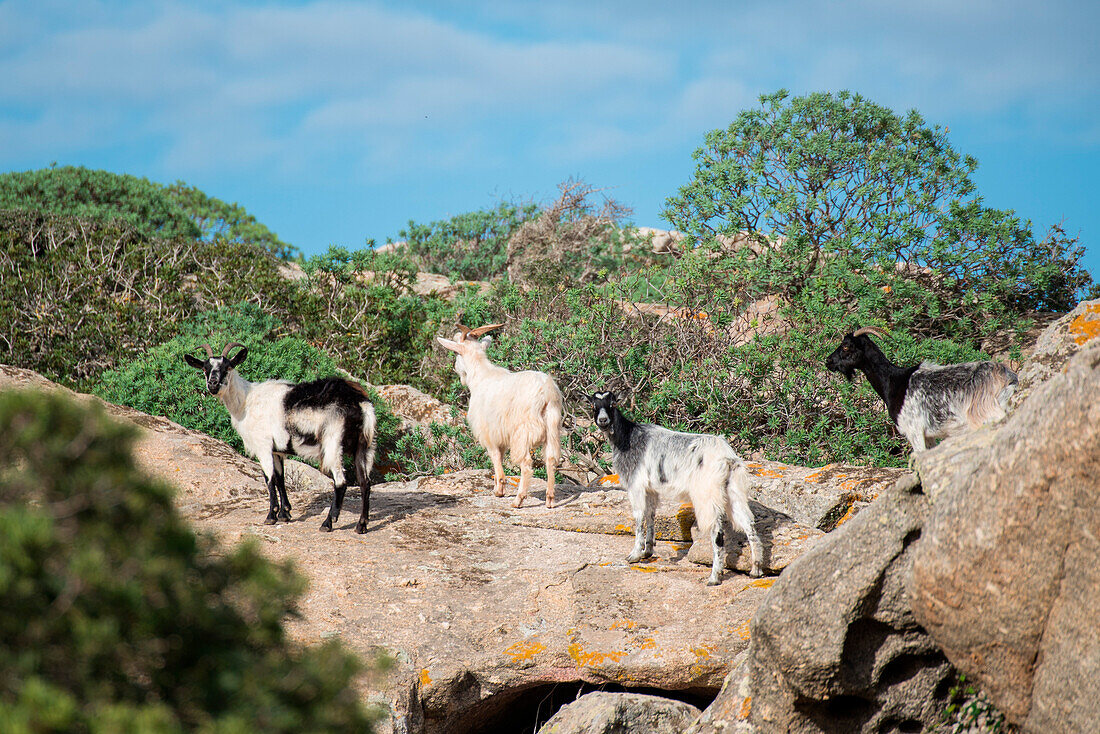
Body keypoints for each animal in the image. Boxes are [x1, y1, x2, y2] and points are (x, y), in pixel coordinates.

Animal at [184, 341, 378, 530]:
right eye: (205, 369)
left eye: (228, 367)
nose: (213, 384)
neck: (246, 401)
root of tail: (360, 403)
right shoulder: (277, 450)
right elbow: (280, 479)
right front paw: (285, 514)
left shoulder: (263, 446)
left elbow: (269, 479)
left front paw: (271, 516)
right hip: (365, 445)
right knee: (365, 482)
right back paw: (361, 525)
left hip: (333, 443)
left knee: (341, 482)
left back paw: (328, 522)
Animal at [435, 323, 563, 508]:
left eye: (456, 353)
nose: (458, 373)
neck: (481, 375)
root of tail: (546, 393)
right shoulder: (500, 434)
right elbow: (499, 457)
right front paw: (498, 488)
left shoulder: (489, 432)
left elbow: (495, 458)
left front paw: (499, 490)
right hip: (553, 426)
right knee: (551, 459)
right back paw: (550, 499)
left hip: (522, 431)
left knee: (526, 463)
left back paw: (518, 500)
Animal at [585, 389, 765, 585]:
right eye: (593, 405)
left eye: (612, 404)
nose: (603, 420)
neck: (628, 437)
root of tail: (726, 457)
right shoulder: (651, 489)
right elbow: (651, 514)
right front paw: (648, 551)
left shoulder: (636, 485)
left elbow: (639, 517)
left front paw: (634, 555)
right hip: (734, 491)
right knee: (749, 524)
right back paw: (756, 570)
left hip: (707, 494)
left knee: (717, 532)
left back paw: (714, 577)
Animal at [822, 327, 1016, 453]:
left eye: (846, 346)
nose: (828, 361)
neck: (894, 382)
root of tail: (1008, 378)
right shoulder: (929, 436)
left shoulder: (913, 430)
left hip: (985, 413)